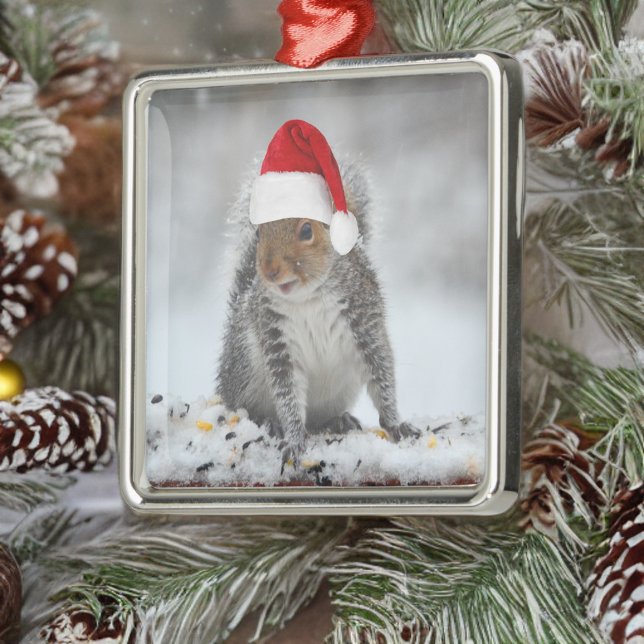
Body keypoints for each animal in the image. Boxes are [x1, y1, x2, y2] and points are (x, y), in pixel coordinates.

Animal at [215, 120, 418, 469]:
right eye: (259, 233)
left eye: (307, 231)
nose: (269, 270)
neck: (308, 298)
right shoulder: (276, 340)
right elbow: (288, 395)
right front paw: (295, 440)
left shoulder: (364, 321)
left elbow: (382, 374)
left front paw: (396, 424)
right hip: (244, 366)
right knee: (246, 406)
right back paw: (266, 421)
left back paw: (338, 420)